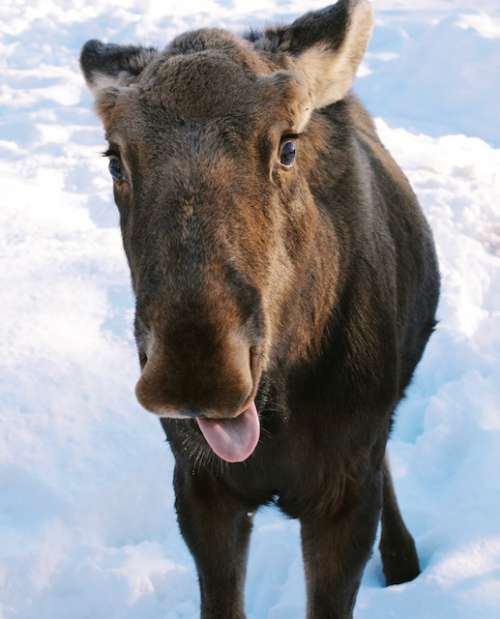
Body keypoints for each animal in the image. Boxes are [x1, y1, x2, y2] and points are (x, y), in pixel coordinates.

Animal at [82, 1, 442, 616]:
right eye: (115, 160)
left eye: (287, 145)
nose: (196, 371)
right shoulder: (197, 485)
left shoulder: (346, 492)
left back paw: (402, 559)